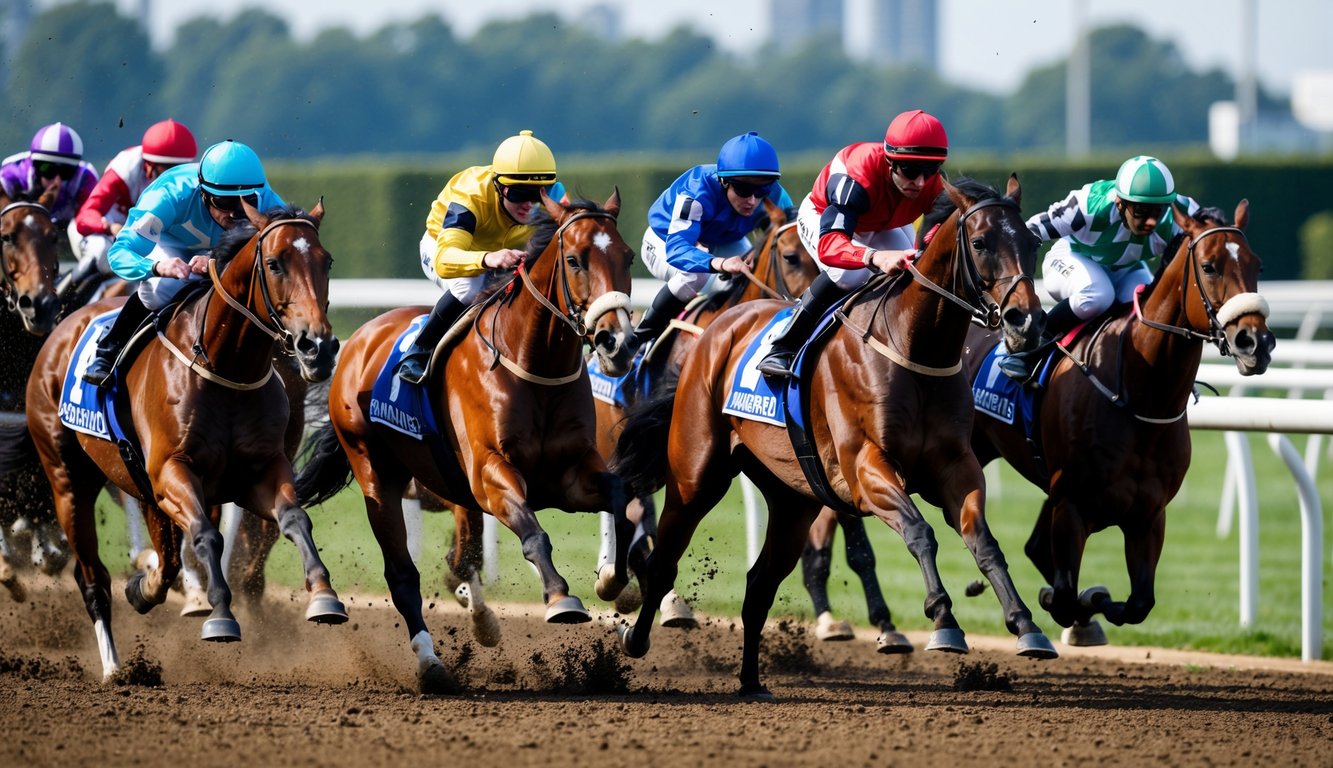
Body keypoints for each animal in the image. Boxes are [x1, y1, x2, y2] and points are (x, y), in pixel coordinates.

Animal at [26, 201, 346, 680]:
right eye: (274, 263)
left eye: (326, 261)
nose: (318, 348)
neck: (226, 366)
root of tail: (60, 331)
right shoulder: (173, 472)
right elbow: (207, 538)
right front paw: (220, 617)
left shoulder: (260, 471)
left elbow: (293, 518)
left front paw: (324, 595)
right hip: (68, 478)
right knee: (92, 575)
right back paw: (115, 665)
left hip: (138, 482)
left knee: (167, 555)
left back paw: (145, 587)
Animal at [295, 193, 634, 693]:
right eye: (575, 260)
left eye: (627, 257)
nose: (619, 342)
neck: (533, 364)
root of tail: (358, 339)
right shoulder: (492, 475)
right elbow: (534, 534)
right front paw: (560, 598)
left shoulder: (571, 473)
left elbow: (623, 502)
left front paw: (613, 582)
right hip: (375, 473)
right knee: (403, 574)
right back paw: (431, 663)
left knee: (462, 556)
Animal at [615, 177, 1061, 698]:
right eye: (981, 243)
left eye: (1032, 242)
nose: (1027, 321)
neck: (915, 346)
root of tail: (719, 330)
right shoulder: (866, 468)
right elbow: (919, 532)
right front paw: (943, 620)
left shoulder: (956, 466)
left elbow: (983, 540)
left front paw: (1026, 625)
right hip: (695, 475)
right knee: (664, 559)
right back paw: (638, 635)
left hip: (793, 499)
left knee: (759, 584)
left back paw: (751, 681)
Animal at [959, 202, 1269, 642]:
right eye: (1209, 266)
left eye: (1256, 264)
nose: (1256, 342)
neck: (1139, 398)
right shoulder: (1071, 506)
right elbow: (1064, 595)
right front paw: (1068, 601)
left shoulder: (1149, 515)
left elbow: (1139, 603)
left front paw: (1092, 604)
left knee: (1036, 548)